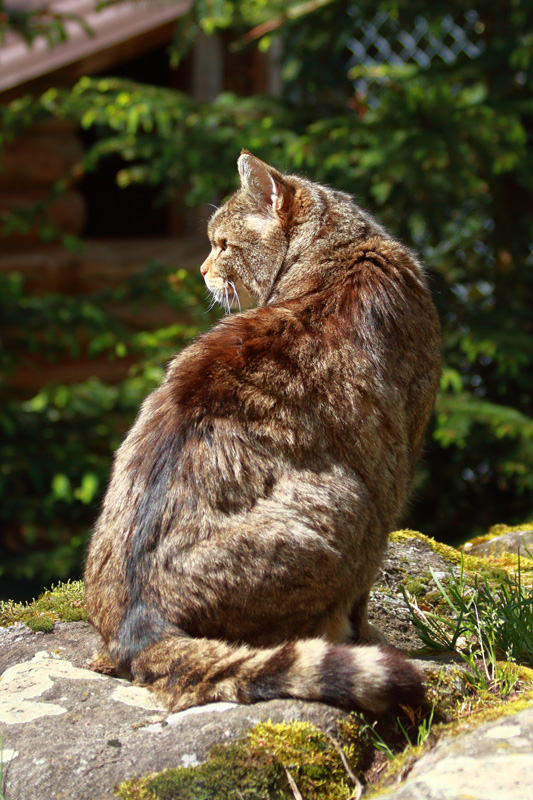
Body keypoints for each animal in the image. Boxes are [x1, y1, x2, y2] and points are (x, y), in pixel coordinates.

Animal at [84, 150, 440, 712]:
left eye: (222, 244)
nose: (201, 269)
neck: (343, 252)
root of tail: (139, 625)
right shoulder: (396, 466)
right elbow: (365, 598)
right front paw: (372, 637)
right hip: (347, 501)